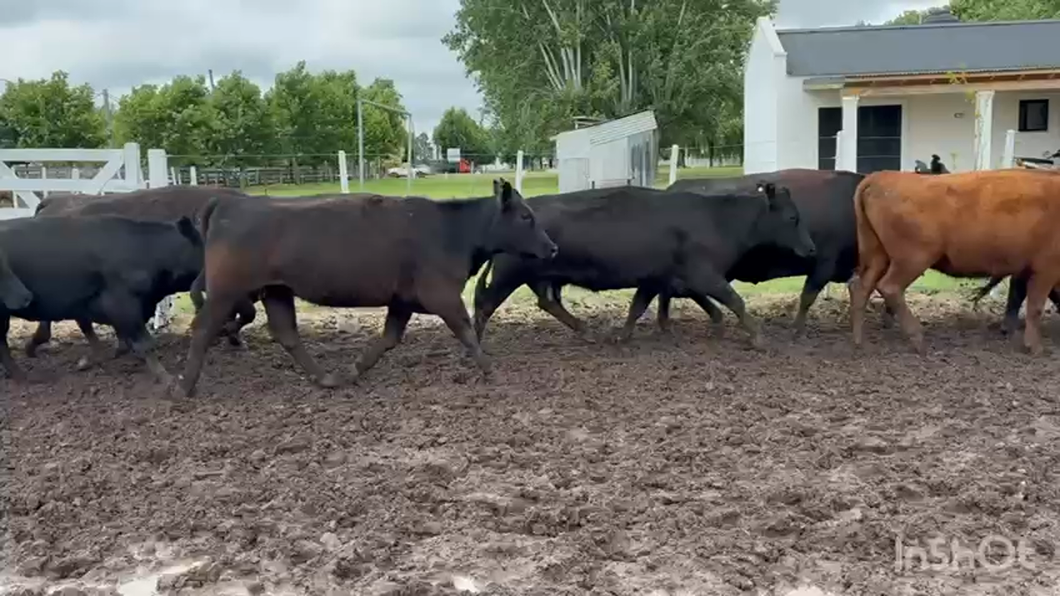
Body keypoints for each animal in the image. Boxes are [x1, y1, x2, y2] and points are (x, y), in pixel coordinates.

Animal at [173, 179, 557, 398]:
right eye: (525, 216)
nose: (552, 248)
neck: (453, 231)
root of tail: (229, 203)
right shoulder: (442, 294)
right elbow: (466, 331)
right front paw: (491, 370)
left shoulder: (403, 299)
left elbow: (389, 339)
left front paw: (356, 369)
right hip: (225, 290)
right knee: (203, 328)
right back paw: (182, 388)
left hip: (276, 290)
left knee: (287, 334)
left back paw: (327, 379)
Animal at [471, 182, 816, 347]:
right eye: (792, 217)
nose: (811, 248)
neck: (718, 219)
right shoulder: (702, 274)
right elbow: (734, 300)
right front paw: (758, 338)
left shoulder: (659, 278)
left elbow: (638, 307)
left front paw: (622, 336)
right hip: (508, 276)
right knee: (484, 306)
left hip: (536, 277)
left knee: (547, 303)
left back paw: (587, 331)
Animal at [849, 169, 1060, 355]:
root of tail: (882, 177)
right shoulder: (1045, 270)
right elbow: (1035, 307)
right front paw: (1035, 347)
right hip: (912, 260)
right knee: (890, 287)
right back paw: (918, 339)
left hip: (878, 256)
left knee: (861, 288)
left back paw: (861, 343)